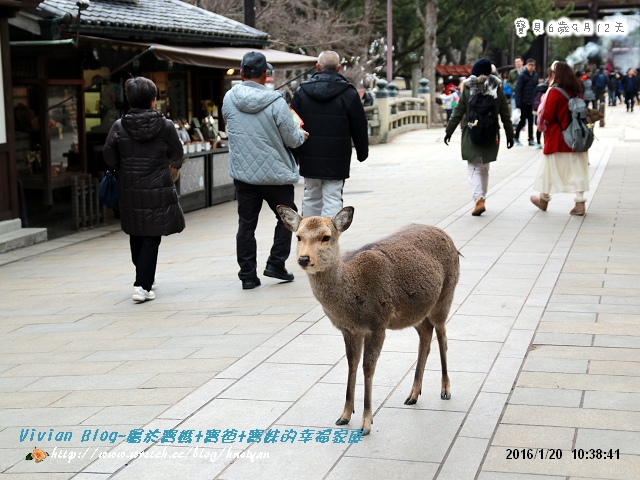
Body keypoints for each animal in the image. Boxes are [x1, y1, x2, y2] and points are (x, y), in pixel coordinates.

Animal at [276, 206, 460, 436]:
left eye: (326, 237)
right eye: (298, 236)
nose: (303, 259)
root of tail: (447, 237)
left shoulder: (377, 324)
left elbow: (368, 367)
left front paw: (366, 423)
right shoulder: (348, 329)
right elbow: (352, 364)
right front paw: (344, 415)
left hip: (445, 297)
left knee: (442, 336)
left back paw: (445, 390)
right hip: (417, 311)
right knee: (426, 335)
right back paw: (413, 394)